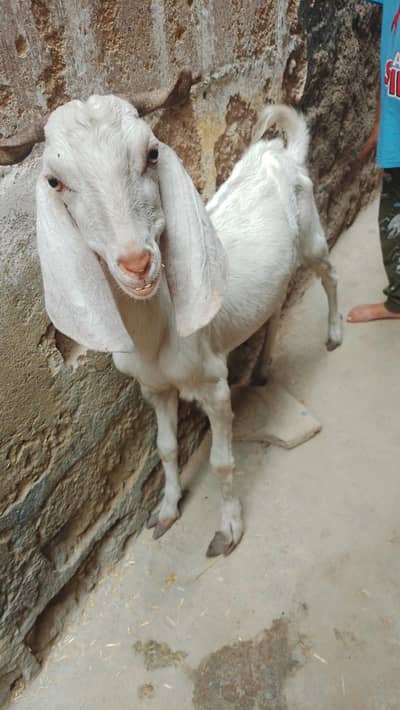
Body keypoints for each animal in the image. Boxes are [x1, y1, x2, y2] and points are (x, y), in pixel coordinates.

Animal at [1, 72, 342, 556]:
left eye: (153, 153)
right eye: (53, 181)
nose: (137, 264)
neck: (156, 337)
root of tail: (282, 153)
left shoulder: (213, 382)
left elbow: (221, 460)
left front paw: (227, 530)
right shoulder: (154, 389)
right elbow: (164, 446)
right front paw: (165, 513)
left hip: (312, 234)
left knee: (328, 276)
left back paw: (334, 334)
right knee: (274, 307)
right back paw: (261, 370)